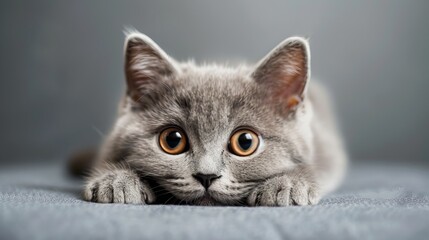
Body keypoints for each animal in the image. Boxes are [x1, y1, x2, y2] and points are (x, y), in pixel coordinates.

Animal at [82, 30, 346, 206]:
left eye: (245, 142)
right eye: (172, 140)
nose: (206, 176)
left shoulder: (326, 145)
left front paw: (287, 184)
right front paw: (117, 180)